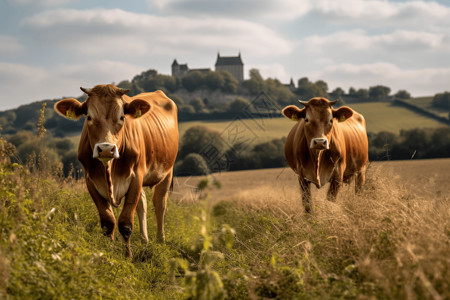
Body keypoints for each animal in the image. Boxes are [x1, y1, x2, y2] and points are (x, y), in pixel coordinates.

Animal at [54, 84, 178, 255]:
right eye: (89, 117)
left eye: (122, 117)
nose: (106, 149)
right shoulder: (90, 181)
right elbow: (108, 222)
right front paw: (109, 252)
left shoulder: (136, 177)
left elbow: (125, 223)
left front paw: (128, 256)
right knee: (143, 203)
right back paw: (144, 240)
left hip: (167, 171)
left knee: (160, 203)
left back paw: (160, 240)